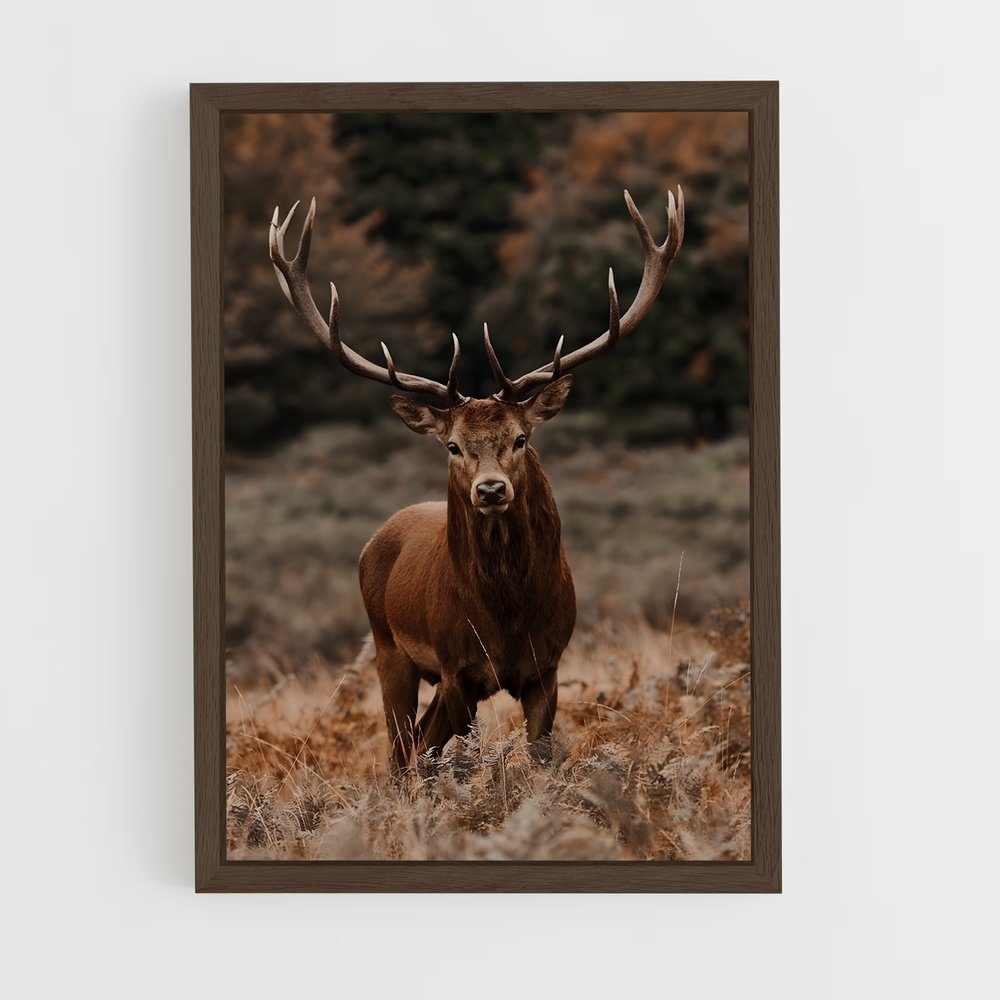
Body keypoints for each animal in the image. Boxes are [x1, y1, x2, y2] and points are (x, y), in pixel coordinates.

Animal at [268, 187, 684, 776]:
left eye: (521, 438)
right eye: (452, 445)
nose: (490, 490)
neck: (506, 618)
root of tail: (375, 540)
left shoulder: (548, 667)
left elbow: (536, 758)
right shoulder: (457, 668)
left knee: (418, 745)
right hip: (388, 649)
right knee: (400, 753)